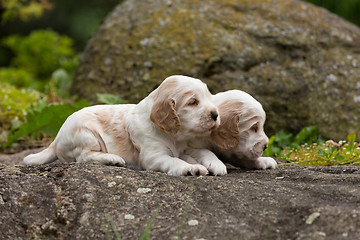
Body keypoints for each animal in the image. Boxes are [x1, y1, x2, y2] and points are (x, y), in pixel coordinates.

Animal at [23, 75, 219, 176]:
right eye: (193, 102)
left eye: (209, 97)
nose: (216, 115)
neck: (176, 137)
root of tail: (56, 140)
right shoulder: (153, 156)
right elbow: (173, 160)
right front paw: (189, 167)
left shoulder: (186, 147)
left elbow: (203, 151)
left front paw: (215, 164)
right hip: (86, 135)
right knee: (83, 157)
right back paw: (111, 159)